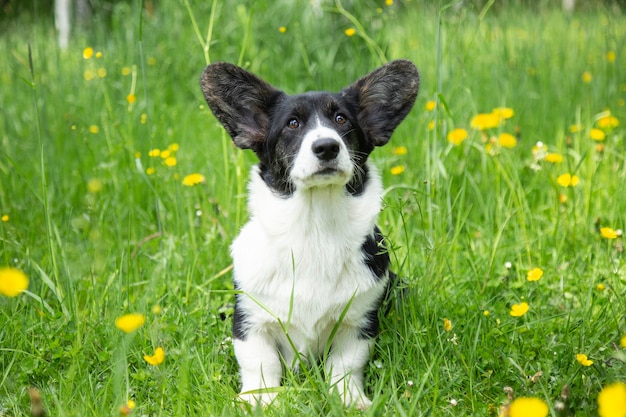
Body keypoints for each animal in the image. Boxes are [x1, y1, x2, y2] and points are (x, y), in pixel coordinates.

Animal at [200, 60, 420, 408]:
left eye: (342, 119)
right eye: (292, 124)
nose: (327, 146)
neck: (315, 228)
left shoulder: (357, 324)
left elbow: (346, 365)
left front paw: (350, 399)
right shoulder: (251, 322)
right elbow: (260, 363)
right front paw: (259, 400)